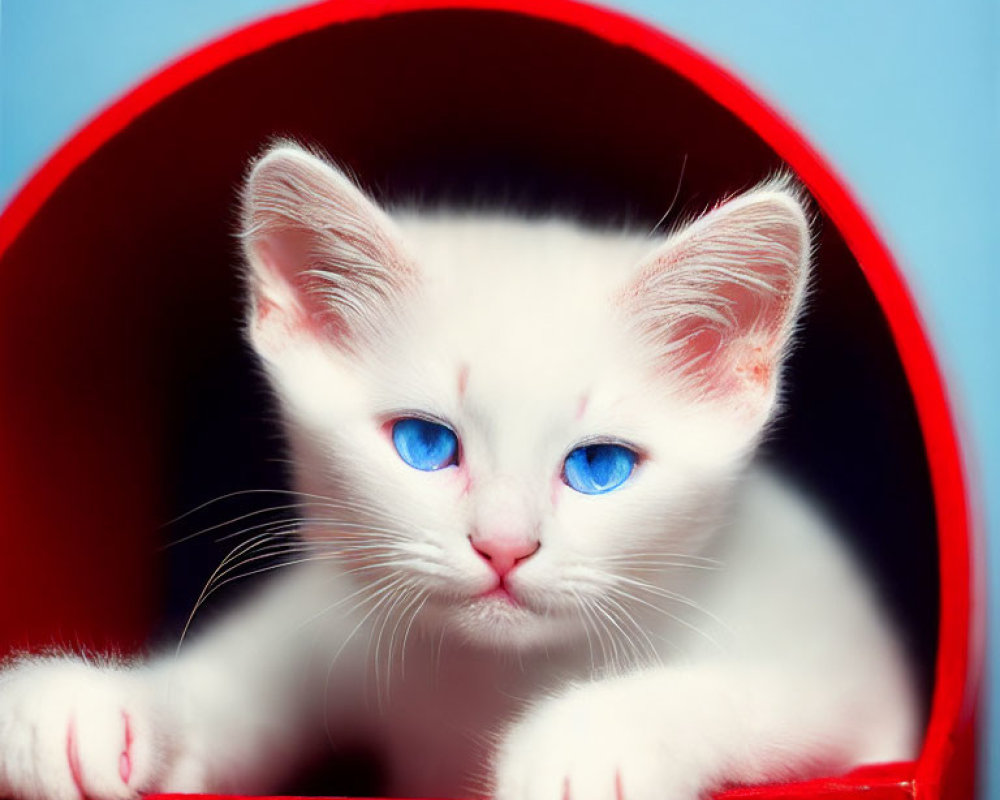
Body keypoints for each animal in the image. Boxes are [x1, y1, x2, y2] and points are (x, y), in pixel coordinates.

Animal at [0, 144, 916, 800]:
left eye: (600, 466)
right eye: (424, 445)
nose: (504, 547)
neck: (488, 679)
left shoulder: (860, 692)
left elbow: (773, 699)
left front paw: (589, 740)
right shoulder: (337, 620)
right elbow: (223, 700)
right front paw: (87, 709)